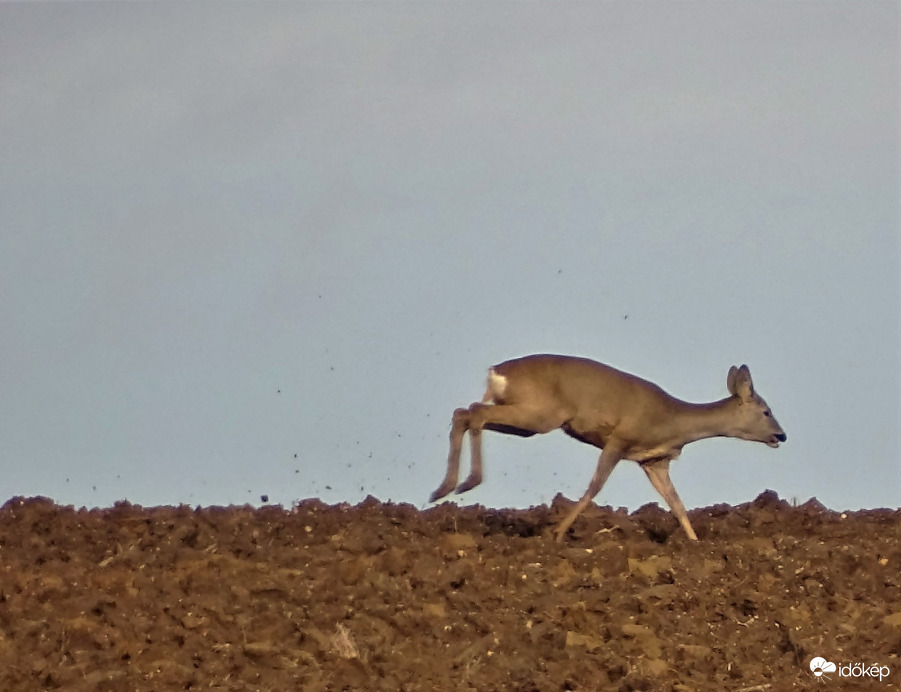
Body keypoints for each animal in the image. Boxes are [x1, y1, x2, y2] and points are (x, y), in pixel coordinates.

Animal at [426, 354, 784, 544]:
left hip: (527, 420)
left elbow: (677, 503)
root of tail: (496, 373)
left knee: (465, 413)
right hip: (540, 414)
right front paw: (558, 532)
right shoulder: (619, 439)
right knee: (474, 412)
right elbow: (594, 487)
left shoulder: (654, 461)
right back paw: (465, 482)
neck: (673, 421)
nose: (781, 436)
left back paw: (445, 488)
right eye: (767, 411)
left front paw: (695, 543)